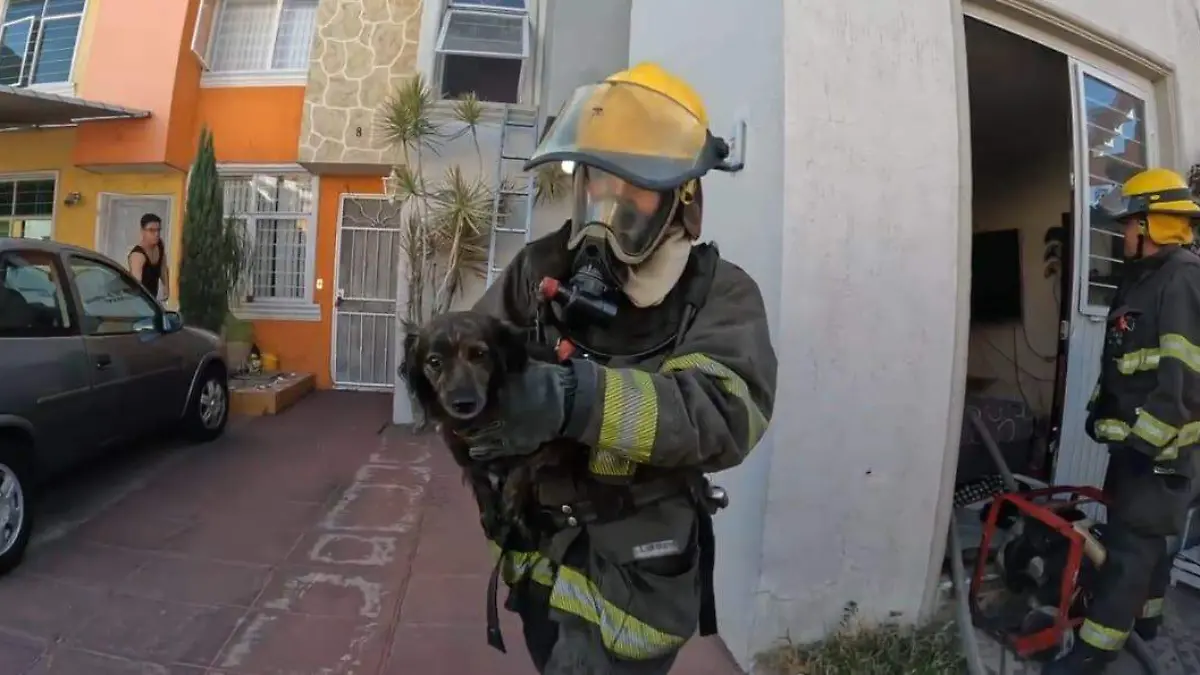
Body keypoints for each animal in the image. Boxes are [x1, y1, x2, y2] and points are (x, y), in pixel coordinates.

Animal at [398, 309, 576, 535]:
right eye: (434, 361)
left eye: (480, 354)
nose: (463, 404)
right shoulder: (463, 453)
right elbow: (479, 482)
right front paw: (490, 514)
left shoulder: (556, 439)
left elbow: (522, 468)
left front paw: (510, 507)